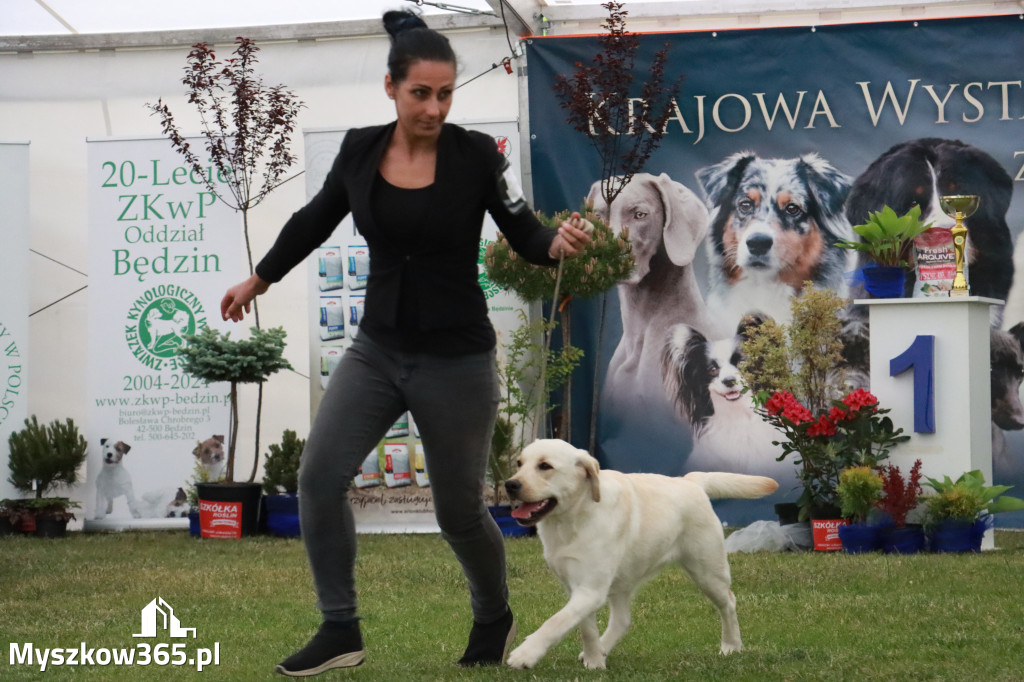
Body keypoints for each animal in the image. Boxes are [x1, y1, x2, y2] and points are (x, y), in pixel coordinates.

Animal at [503, 438, 774, 667]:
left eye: (545, 466)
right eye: (519, 463)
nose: (510, 484)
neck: (573, 518)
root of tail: (691, 481)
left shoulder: (591, 589)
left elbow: (556, 621)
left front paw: (526, 653)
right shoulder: (578, 587)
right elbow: (584, 627)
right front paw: (594, 661)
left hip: (708, 570)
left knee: (728, 602)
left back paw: (731, 645)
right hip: (626, 577)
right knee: (622, 620)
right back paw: (603, 648)